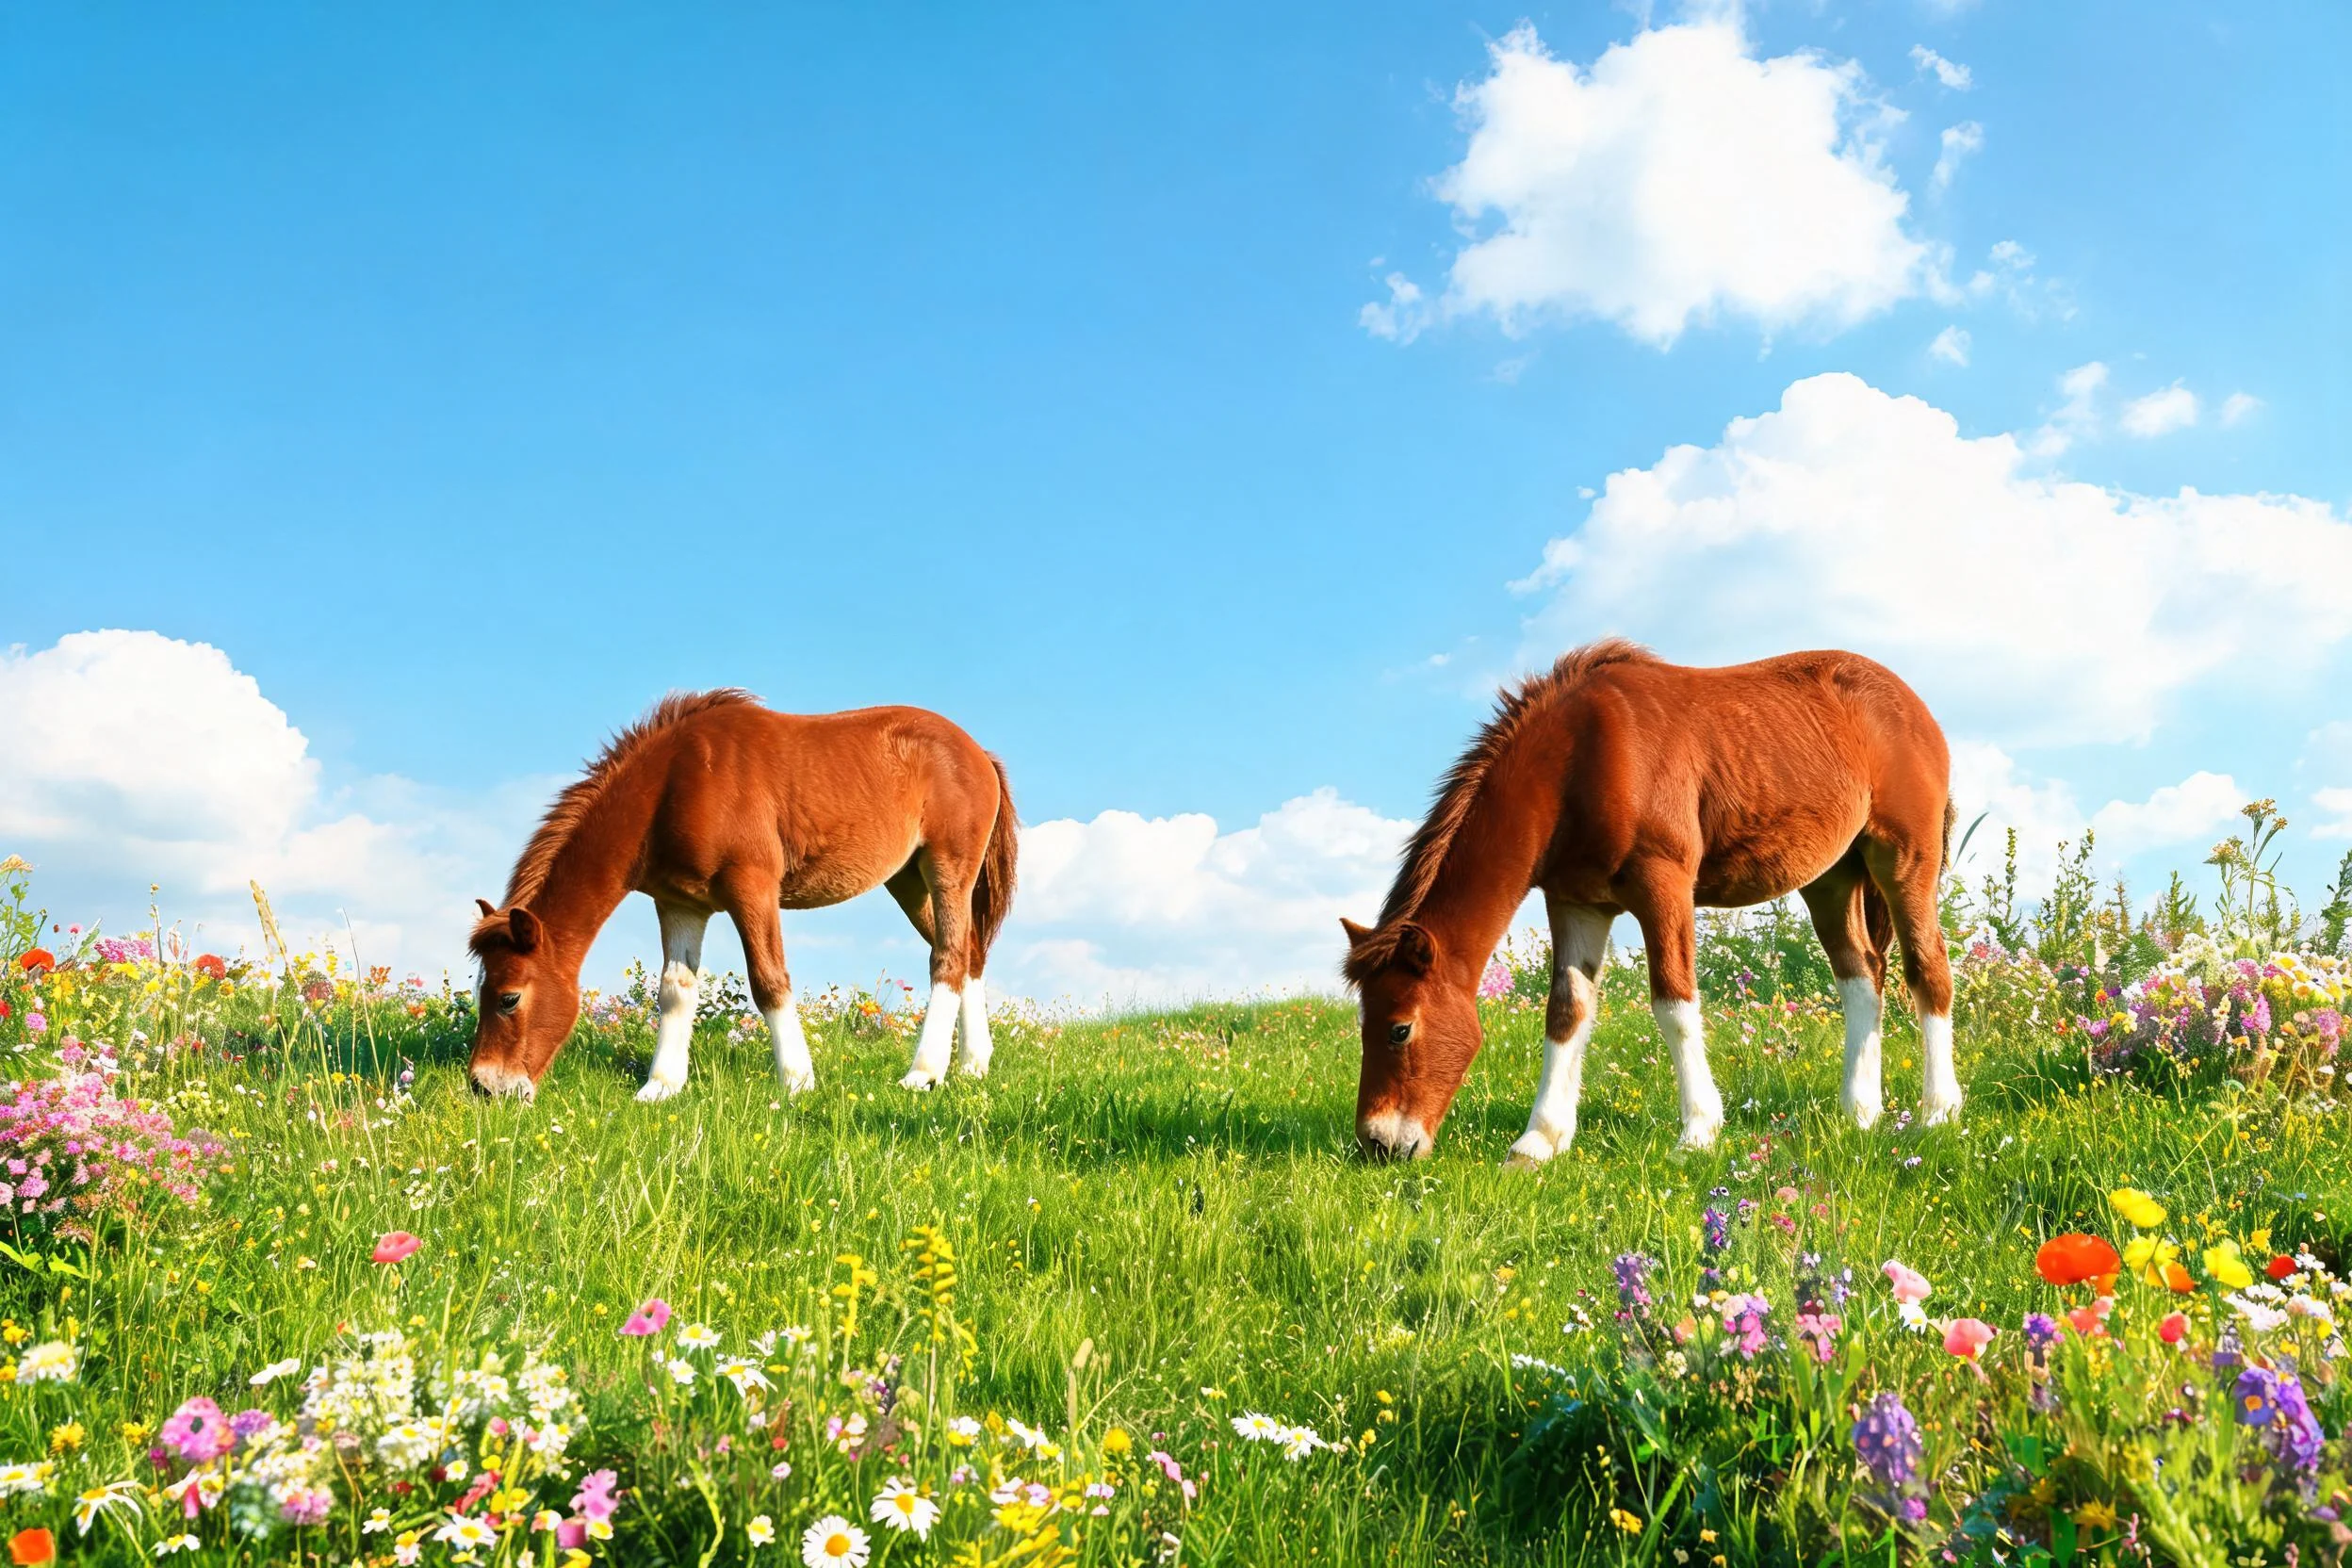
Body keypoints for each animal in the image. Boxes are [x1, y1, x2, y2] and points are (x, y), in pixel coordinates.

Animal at [465, 691, 1016, 1103]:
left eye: (510, 998)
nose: (484, 1087)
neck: (676, 782)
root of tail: (980, 754)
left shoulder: (751, 887)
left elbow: (769, 980)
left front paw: (797, 1081)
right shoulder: (681, 904)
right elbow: (675, 990)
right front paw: (659, 1087)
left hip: (947, 869)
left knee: (948, 958)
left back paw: (923, 1073)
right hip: (906, 880)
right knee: (968, 953)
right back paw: (973, 1065)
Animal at [1341, 640, 1957, 1165]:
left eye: (1399, 1029)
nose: (1378, 1145)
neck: (1582, 757)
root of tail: (1916, 707)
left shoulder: (1664, 884)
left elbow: (1673, 1004)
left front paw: (1699, 1132)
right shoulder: (1576, 904)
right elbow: (1567, 1011)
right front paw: (1540, 1141)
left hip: (1904, 859)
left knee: (1927, 970)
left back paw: (1938, 1112)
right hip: (1832, 878)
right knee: (1862, 978)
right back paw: (1859, 1113)